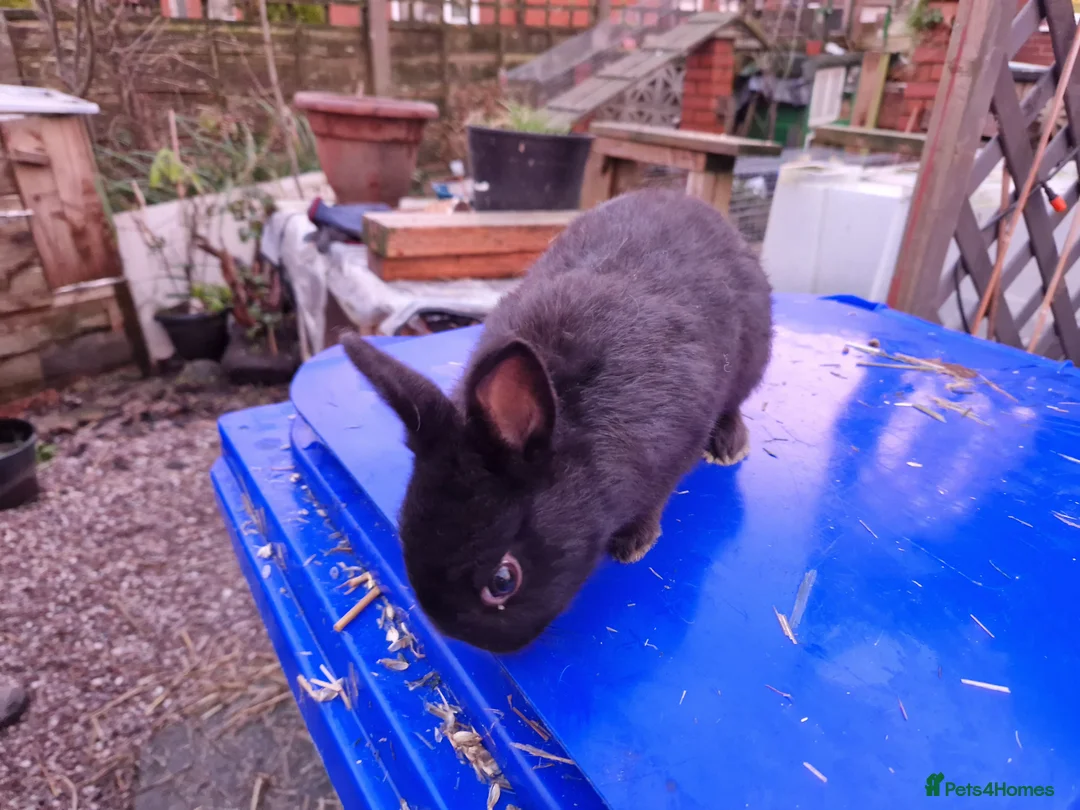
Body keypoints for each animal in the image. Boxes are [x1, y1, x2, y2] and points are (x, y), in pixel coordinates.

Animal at [341, 189, 772, 653]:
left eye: (503, 581)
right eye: (404, 529)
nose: (466, 639)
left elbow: (655, 500)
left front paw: (634, 543)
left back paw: (729, 445)